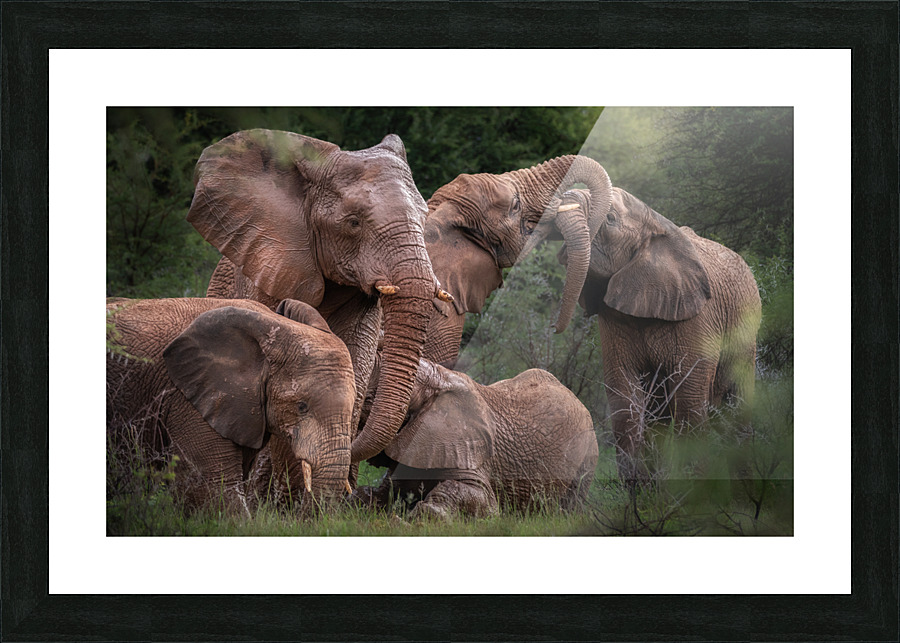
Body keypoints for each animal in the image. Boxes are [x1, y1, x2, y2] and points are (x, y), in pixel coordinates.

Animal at [353, 360, 599, 519]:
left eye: (371, 399)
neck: (440, 379)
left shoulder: (469, 449)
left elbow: (485, 502)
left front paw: (419, 516)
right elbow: (386, 490)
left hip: (588, 454)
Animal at [555, 187, 762, 480]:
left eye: (610, 219)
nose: (555, 328)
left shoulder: (698, 317)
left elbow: (689, 397)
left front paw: (695, 486)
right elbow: (624, 395)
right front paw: (640, 487)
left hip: (746, 328)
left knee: (737, 401)